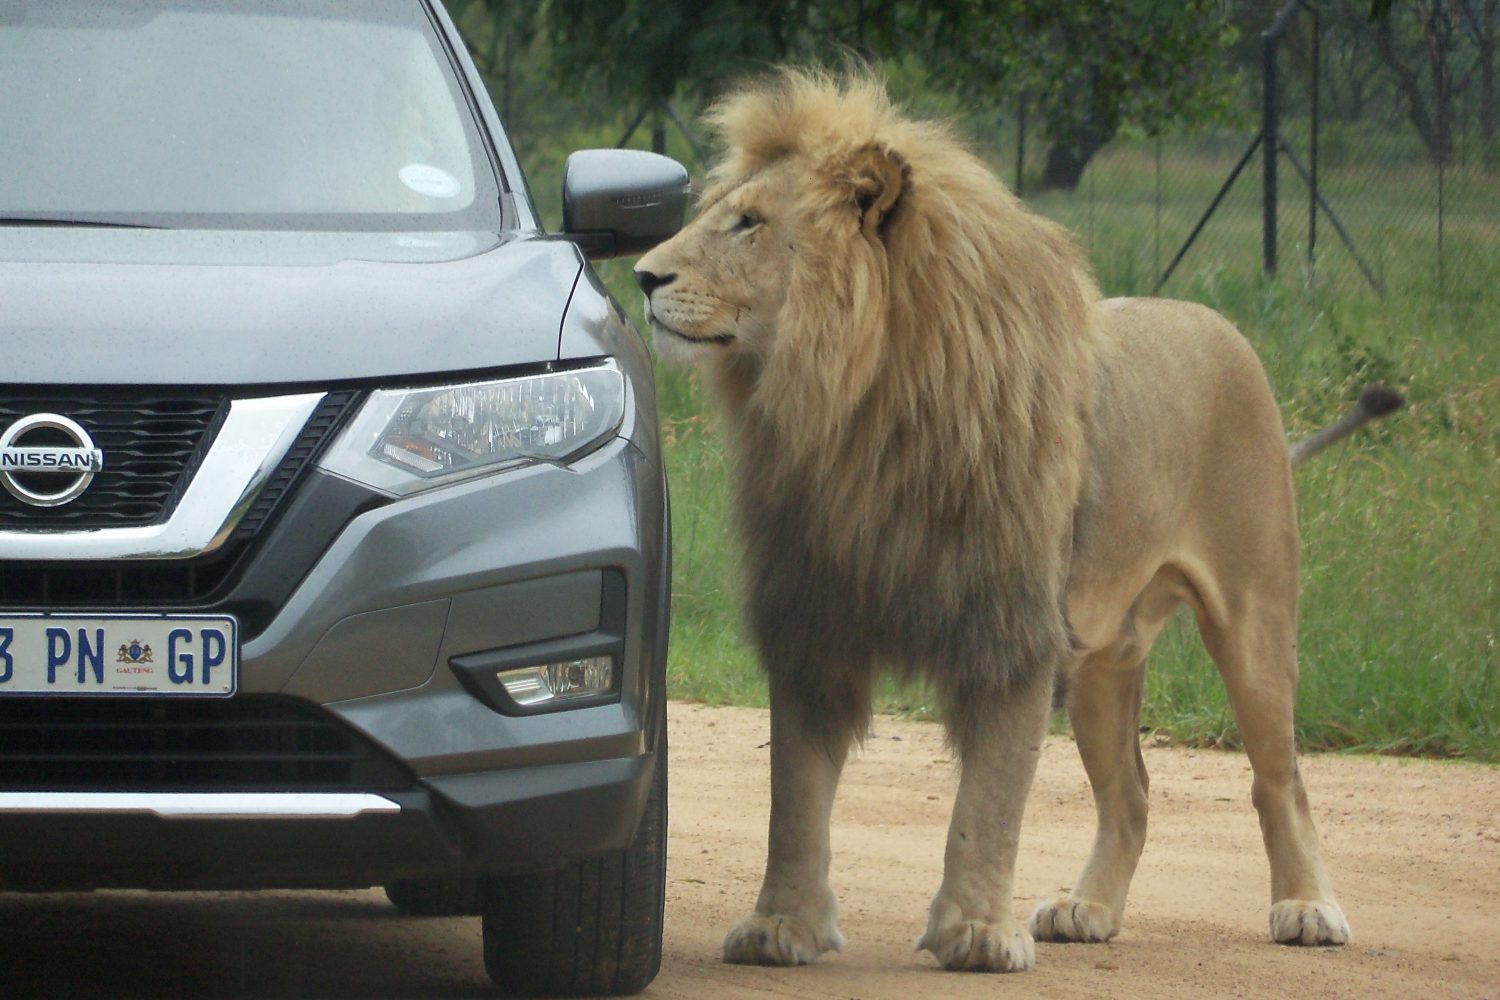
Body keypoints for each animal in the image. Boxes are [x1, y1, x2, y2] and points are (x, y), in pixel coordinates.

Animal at [633, 68, 1392, 971]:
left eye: (748, 224)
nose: (640, 276)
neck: (855, 417)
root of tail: (1215, 323)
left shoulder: (1010, 627)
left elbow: (988, 801)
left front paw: (974, 934)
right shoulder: (814, 619)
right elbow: (796, 796)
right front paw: (783, 926)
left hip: (1254, 619)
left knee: (1281, 778)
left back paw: (1309, 908)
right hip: (1102, 657)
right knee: (1132, 793)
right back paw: (1086, 909)